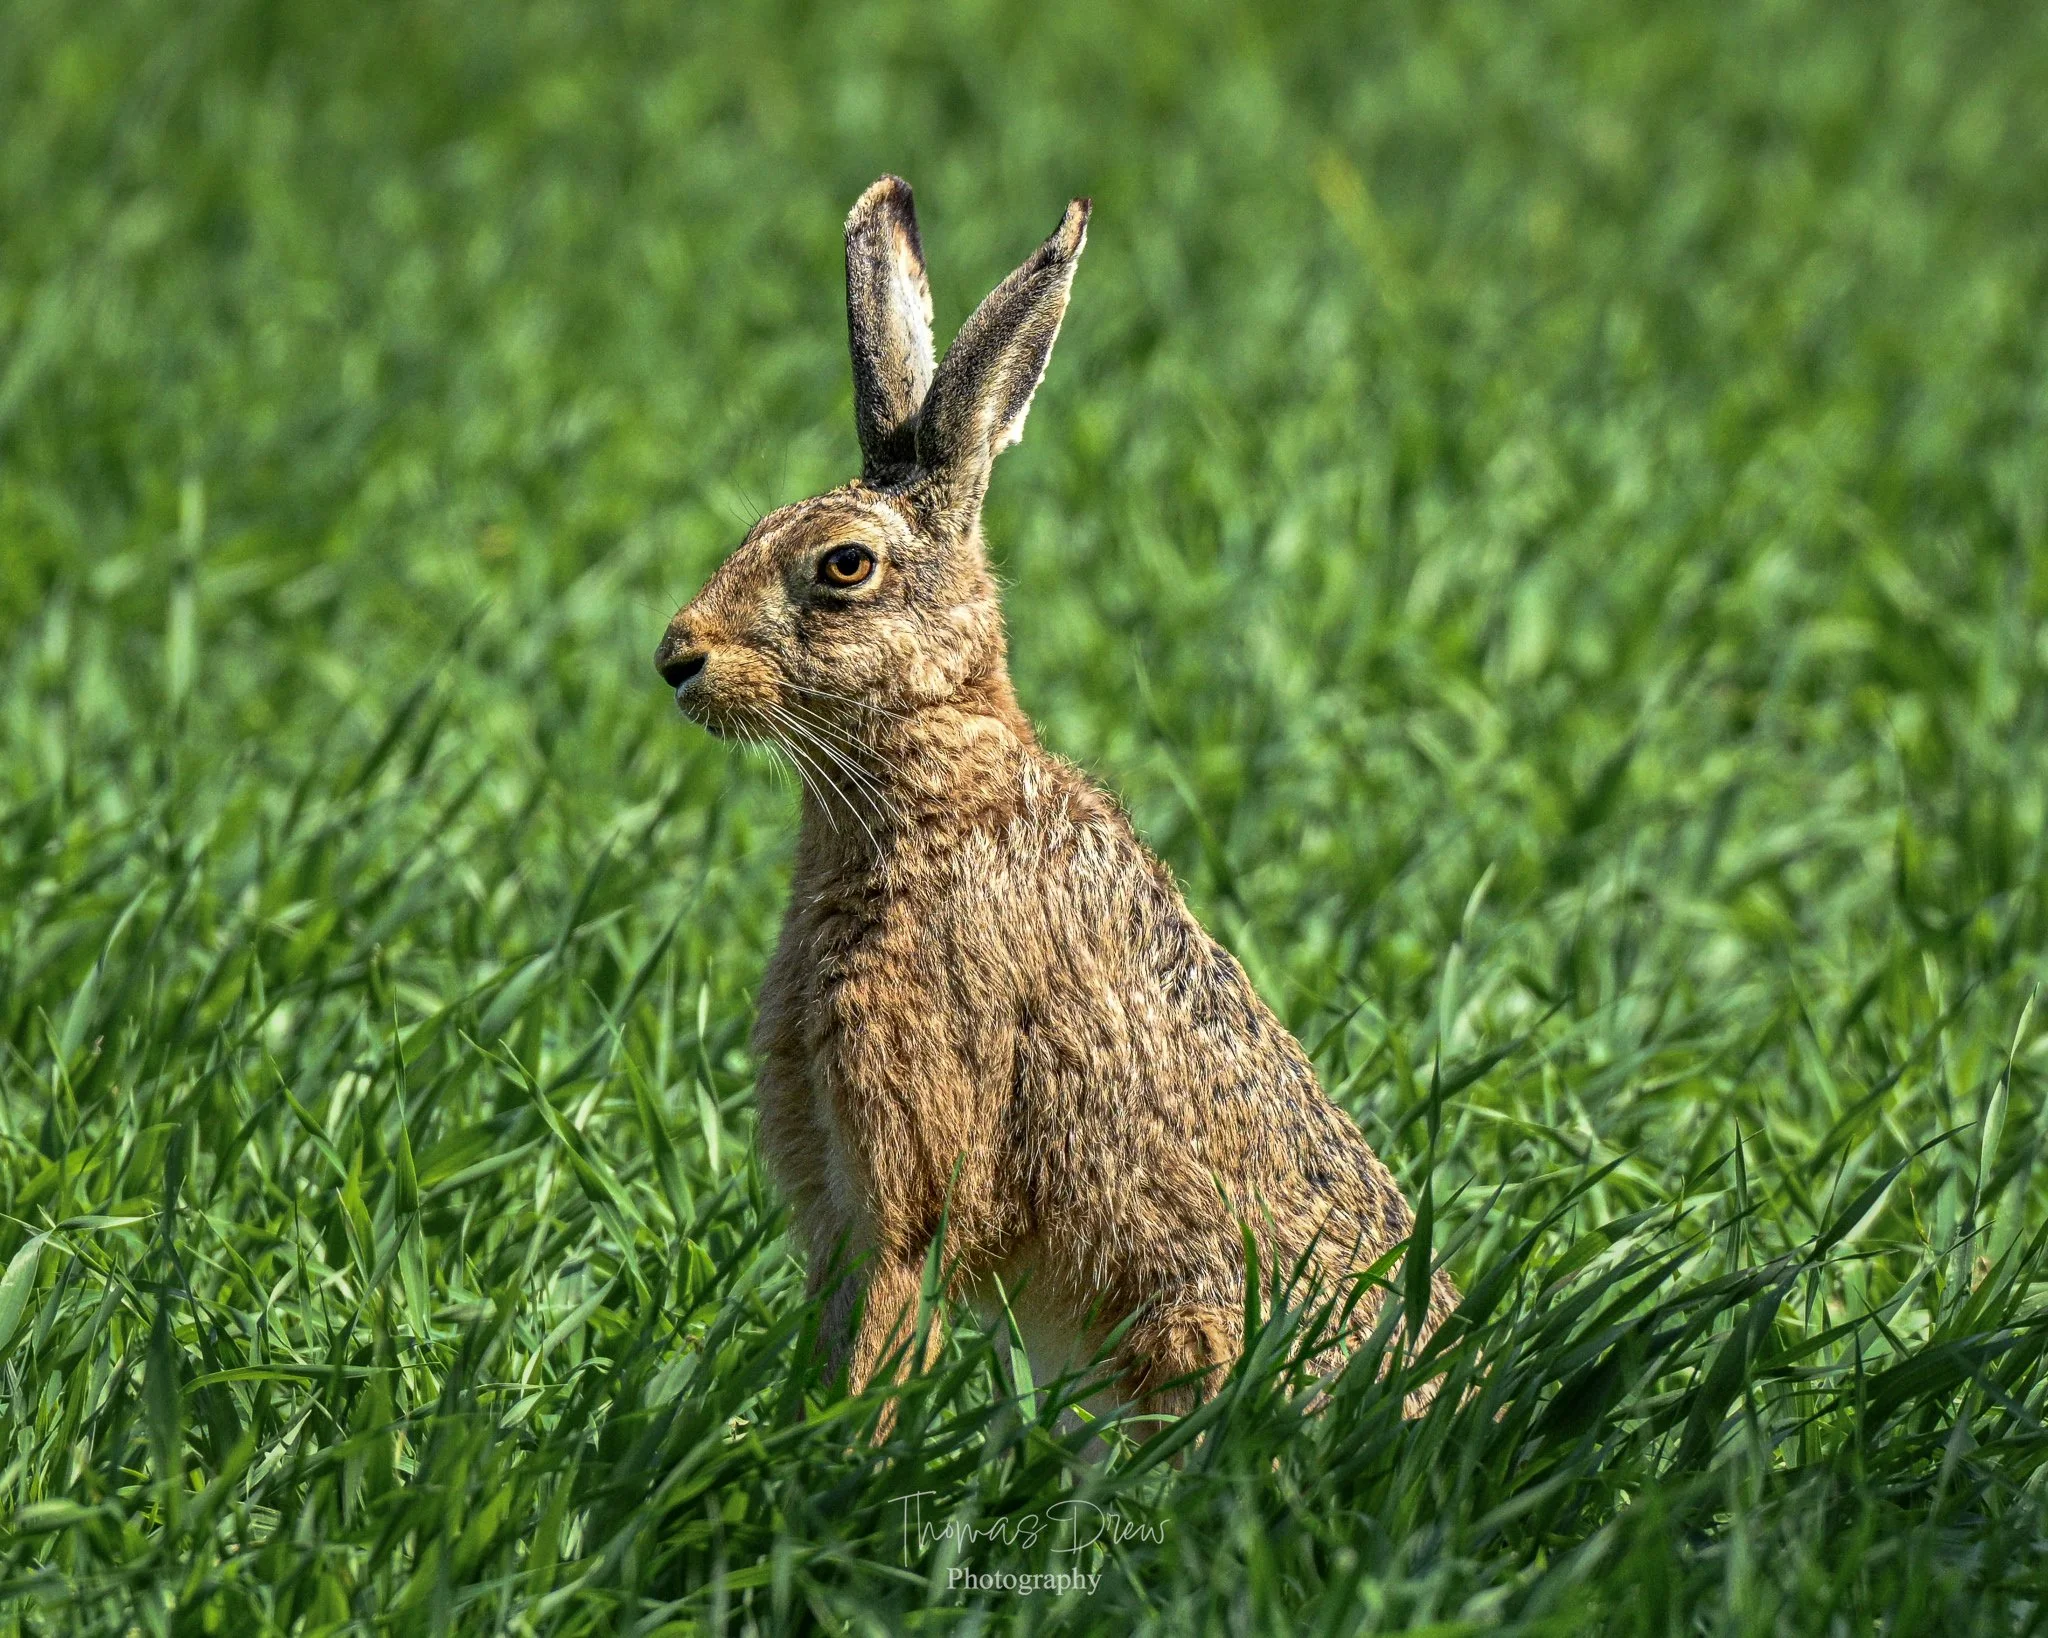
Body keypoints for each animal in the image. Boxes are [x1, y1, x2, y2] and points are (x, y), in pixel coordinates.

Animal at [655, 176, 1457, 1430]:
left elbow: (889, 1320)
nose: (676, 659)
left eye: (843, 567)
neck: (933, 795)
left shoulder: (908, 1175)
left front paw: (843, 1449)